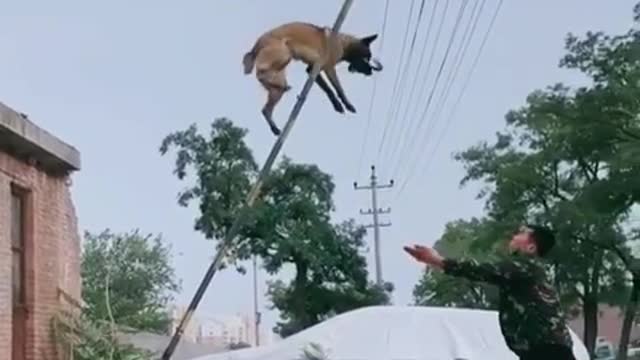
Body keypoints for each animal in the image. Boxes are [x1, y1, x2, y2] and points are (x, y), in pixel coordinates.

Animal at [242, 21, 382, 136]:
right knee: (261, 72)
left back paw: (275, 127)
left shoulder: (313, 69)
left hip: (278, 83)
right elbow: (337, 88)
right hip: (285, 53)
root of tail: (256, 46)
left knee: (266, 109)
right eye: (367, 57)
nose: (370, 71)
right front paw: (346, 105)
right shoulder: (328, 68)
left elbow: (328, 90)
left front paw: (337, 105)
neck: (343, 42)